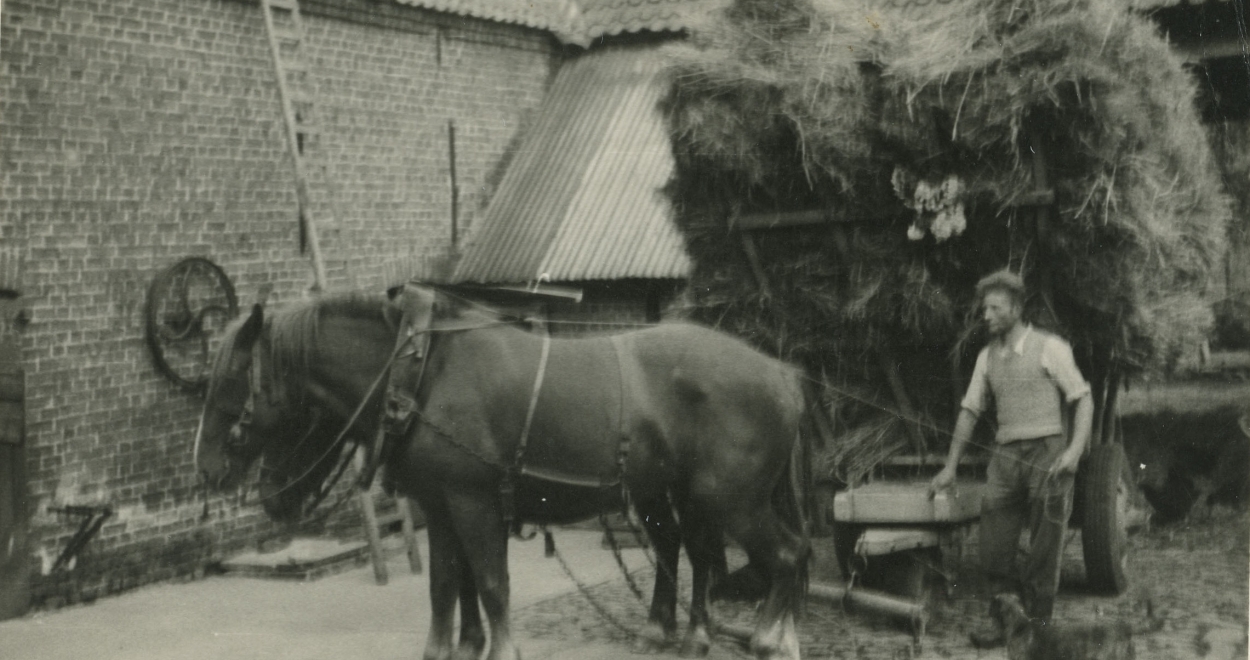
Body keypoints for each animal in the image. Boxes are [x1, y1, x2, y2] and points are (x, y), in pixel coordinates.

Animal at [195, 285, 810, 660]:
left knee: (783, 554)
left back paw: (768, 638)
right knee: (696, 552)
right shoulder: (441, 507)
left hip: (732, 500)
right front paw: (452, 647)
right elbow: (448, 584)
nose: (207, 468)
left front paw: (500, 647)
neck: (421, 374)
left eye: (231, 381)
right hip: (680, 492)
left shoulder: (473, 503)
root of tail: (781, 372)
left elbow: (490, 583)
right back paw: (693, 634)